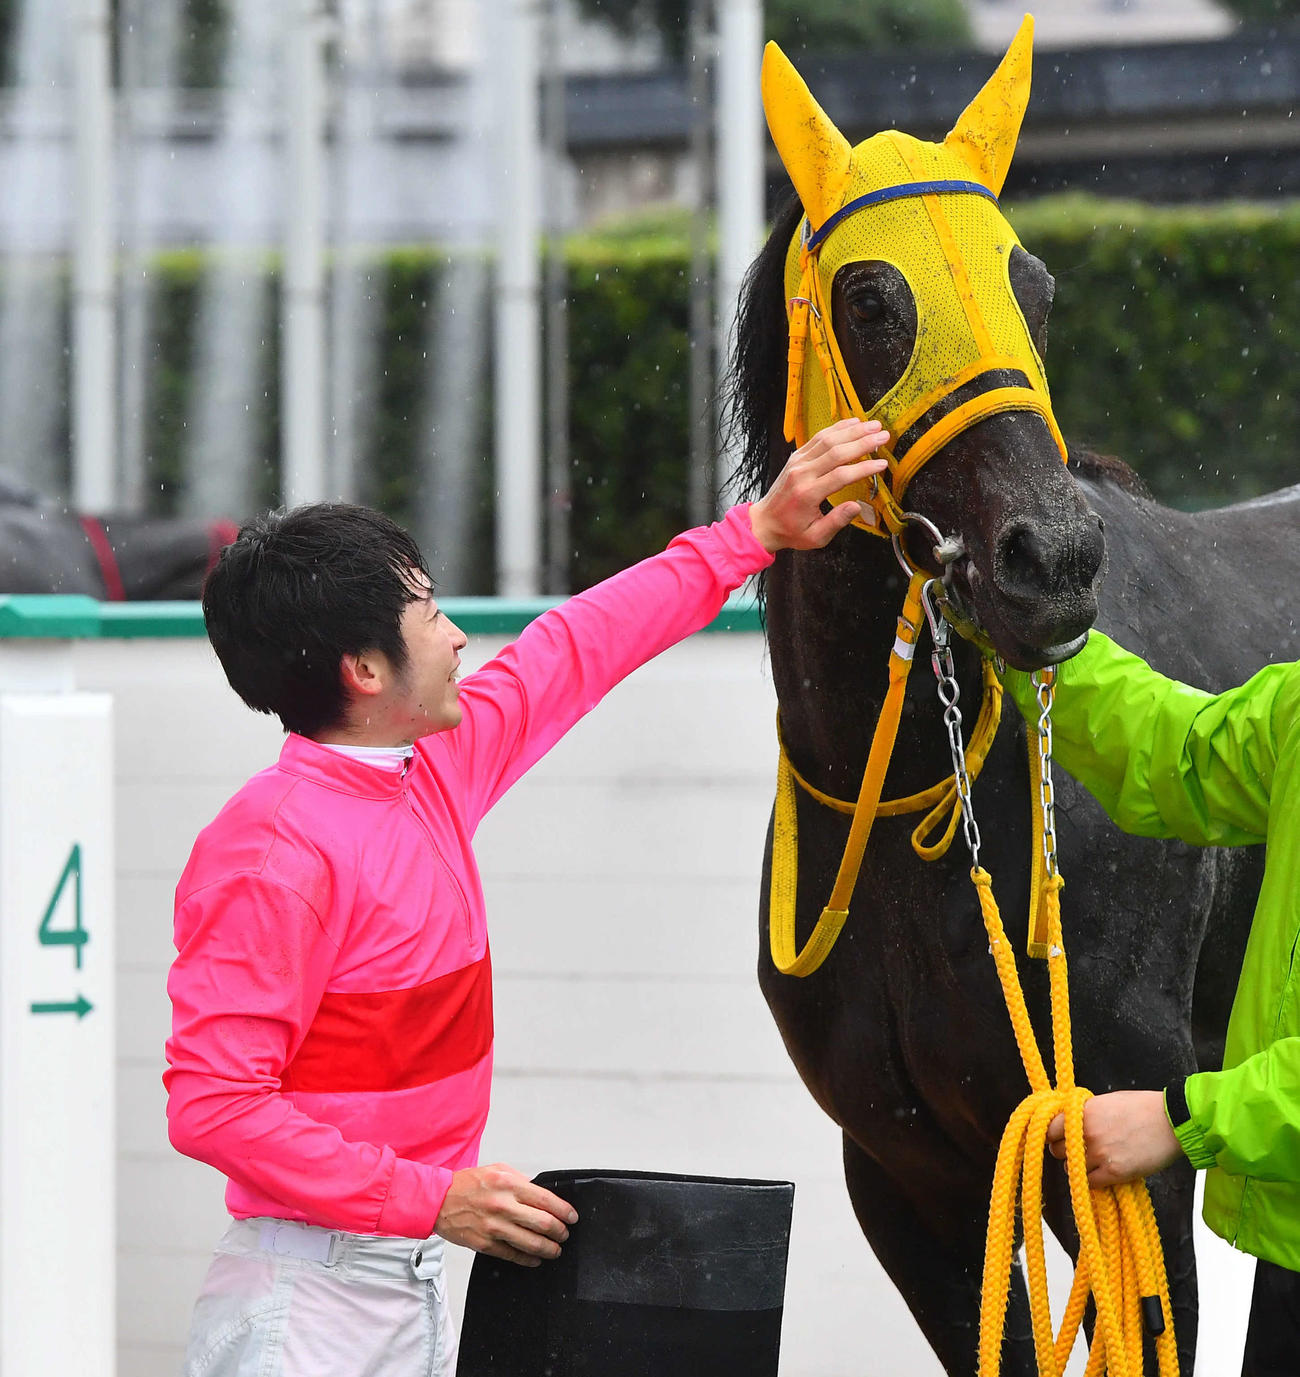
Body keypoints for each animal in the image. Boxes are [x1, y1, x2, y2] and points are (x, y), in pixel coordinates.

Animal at [729, 24, 1300, 1376]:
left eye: (1033, 288)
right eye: (870, 298)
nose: (1050, 559)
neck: (909, 808)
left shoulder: (1120, 1151)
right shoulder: (908, 1174)